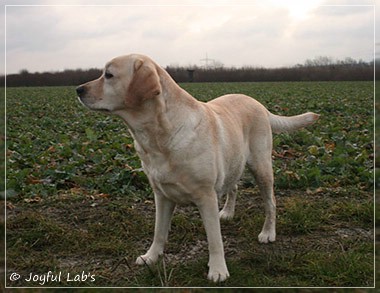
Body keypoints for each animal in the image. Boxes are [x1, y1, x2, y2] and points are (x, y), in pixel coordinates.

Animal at [75, 53, 320, 282]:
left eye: (108, 75)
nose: (78, 89)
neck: (158, 137)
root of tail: (258, 103)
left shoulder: (206, 196)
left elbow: (214, 239)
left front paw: (218, 270)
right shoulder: (161, 195)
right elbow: (159, 232)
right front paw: (151, 257)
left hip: (261, 168)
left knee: (271, 203)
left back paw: (268, 233)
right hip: (232, 162)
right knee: (233, 187)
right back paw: (228, 212)